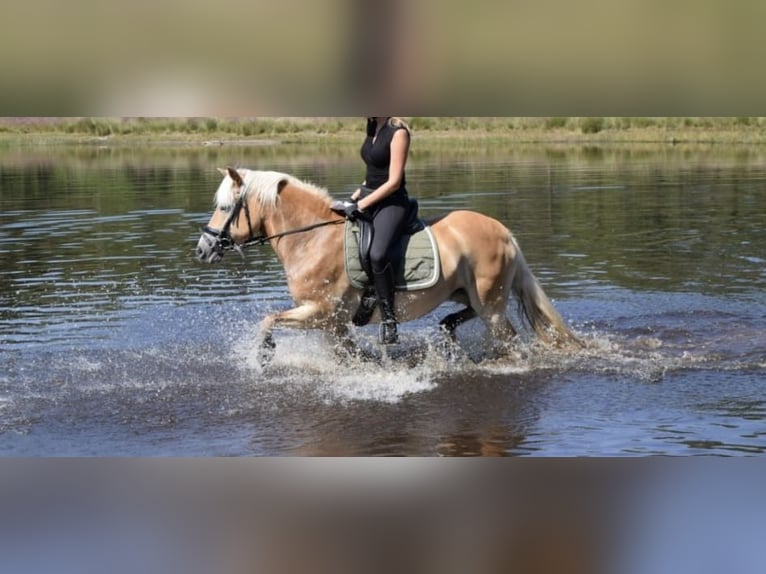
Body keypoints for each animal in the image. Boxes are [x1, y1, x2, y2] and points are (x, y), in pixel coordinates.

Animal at [194, 168, 584, 364]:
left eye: (225, 208)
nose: (203, 250)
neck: (312, 238)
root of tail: (504, 232)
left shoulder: (320, 313)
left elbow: (268, 319)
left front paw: (264, 356)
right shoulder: (334, 324)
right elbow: (347, 355)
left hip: (491, 304)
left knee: (509, 339)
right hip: (468, 294)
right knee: (463, 318)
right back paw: (449, 334)